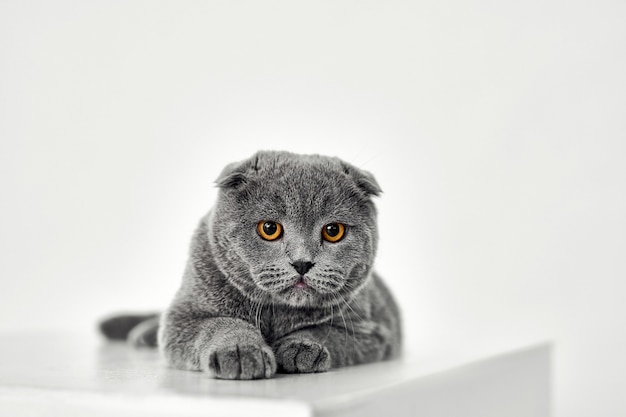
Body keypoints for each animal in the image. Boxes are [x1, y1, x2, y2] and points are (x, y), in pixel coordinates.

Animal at [97, 151, 400, 378]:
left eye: (333, 231)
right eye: (269, 228)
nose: (302, 262)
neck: (275, 313)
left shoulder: (374, 331)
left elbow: (327, 332)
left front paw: (301, 348)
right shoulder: (184, 318)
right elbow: (219, 323)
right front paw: (241, 352)